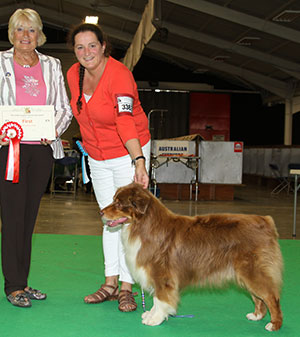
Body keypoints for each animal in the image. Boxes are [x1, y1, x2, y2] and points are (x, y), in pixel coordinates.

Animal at [101, 182, 284, 330]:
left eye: (118, 203)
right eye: (113, 199)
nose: (101, 212)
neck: (142, 225)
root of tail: (266, 221)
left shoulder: (162, 275)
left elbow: (161, 298)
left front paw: (155, 319)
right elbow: (157, 299)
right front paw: (151, 314)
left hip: (252, 271)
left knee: (271, 297)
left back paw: (274, 325)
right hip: (246, 274)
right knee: (259, 298)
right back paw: (256, 316)